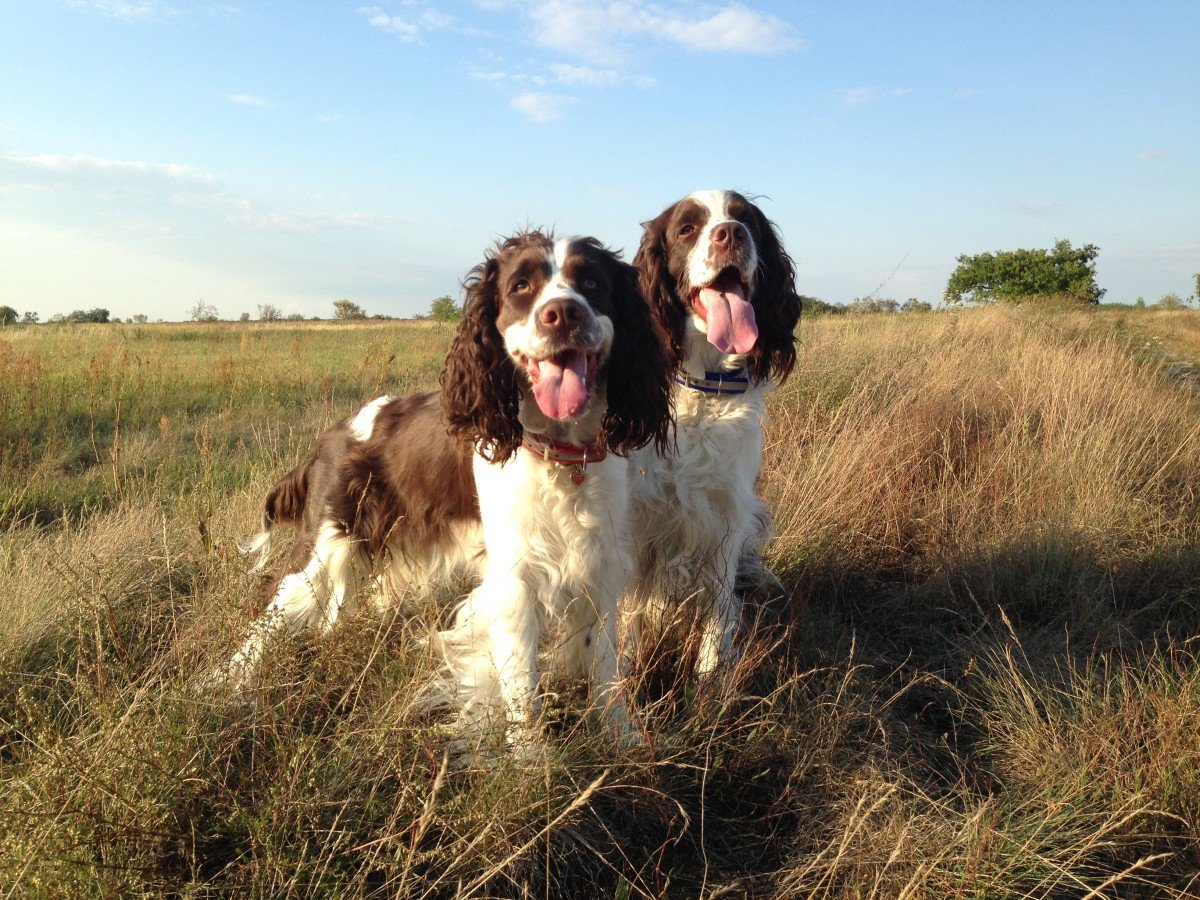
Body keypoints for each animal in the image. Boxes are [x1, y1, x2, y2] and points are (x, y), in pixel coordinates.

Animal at [225, 232, 676, 748]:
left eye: (593, 282)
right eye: (521, 286)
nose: (563, 313)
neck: (561, 453)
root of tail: (329, 438)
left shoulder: (598, 562)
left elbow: (604, 669)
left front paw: (623, 741)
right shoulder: (516, 577)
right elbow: (522, 683)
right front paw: (529, 757)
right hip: (326, 543)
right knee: (275, 604)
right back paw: (227, 683)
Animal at [624, 190, 801, 681]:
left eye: (748, 221)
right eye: (687, 228)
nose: (731, 234)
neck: (704, 386)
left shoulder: (728, 512)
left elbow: (720, 603)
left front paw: (711, 670)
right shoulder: (639, 515)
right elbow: (628, 609)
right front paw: (624, 670)